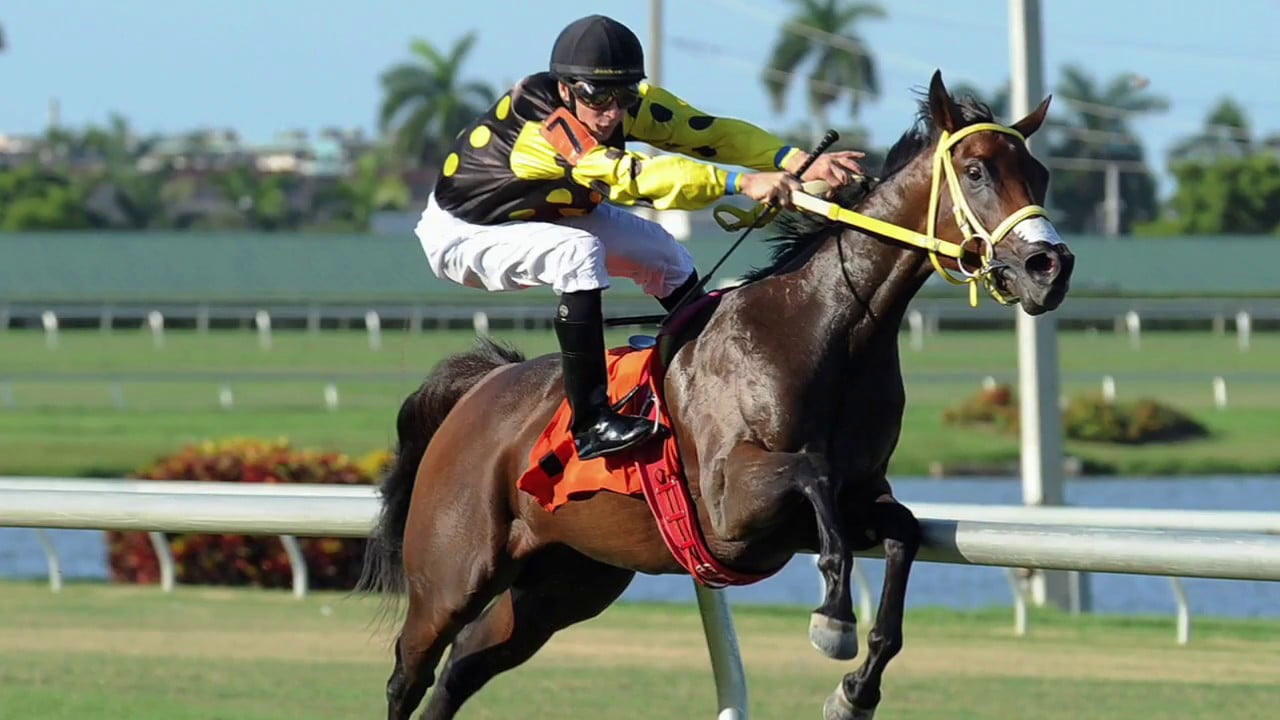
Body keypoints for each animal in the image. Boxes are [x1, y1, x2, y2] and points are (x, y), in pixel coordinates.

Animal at [359, 70, 1075, 720]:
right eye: (976, 170)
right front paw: (832, 620)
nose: (1051, 268)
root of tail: (481, 388)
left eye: (1039, 176)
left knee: (460, 672)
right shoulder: (733, 503)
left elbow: (900, 538)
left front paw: (855, 690)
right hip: (451, 573)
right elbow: (813, 479)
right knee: (406, 675)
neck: (824, 331)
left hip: (562, 582)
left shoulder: (863, 494)